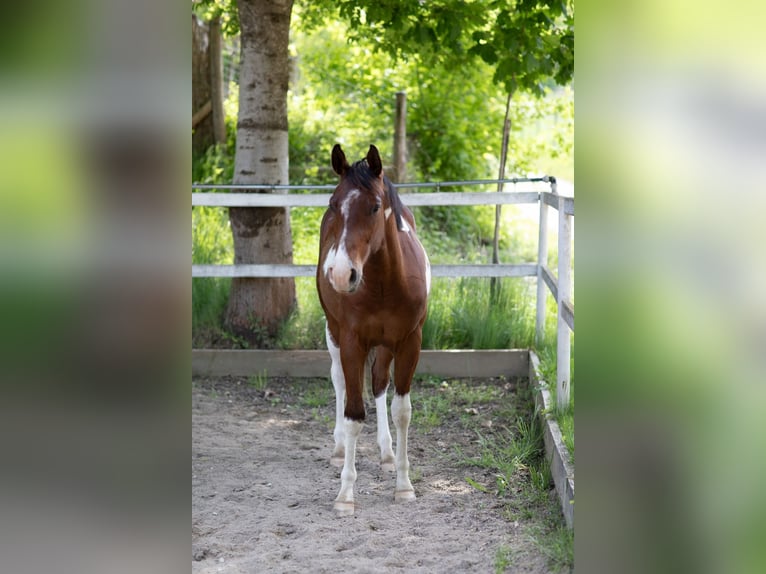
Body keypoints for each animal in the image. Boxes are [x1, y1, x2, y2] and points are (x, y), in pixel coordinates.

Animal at [316, 144, 431, 517]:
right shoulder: (353, 342)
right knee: (339, 381)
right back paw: (340, 450)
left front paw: (404, 485)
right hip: (334, 333)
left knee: (380, 383)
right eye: (333, 204)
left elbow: (401, 411)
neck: (383, 284)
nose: (341, 274)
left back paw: (386, 453)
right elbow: (353, 413)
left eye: (376, 206)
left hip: (385, 346)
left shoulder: (409, 342)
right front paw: (345, 494)